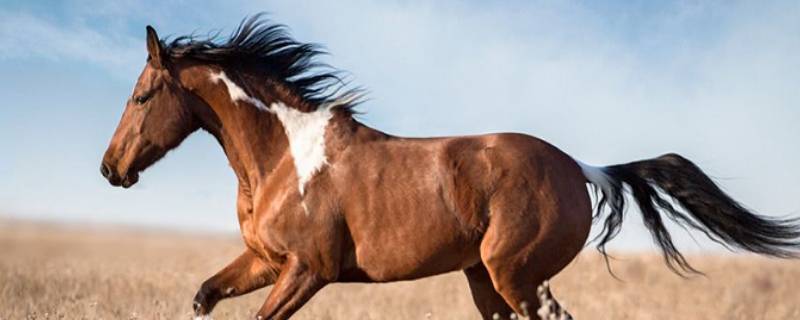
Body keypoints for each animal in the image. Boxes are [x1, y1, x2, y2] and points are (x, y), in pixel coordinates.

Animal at [101, 16, 800, 320]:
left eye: (141, 96)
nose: (110, 170)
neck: (283, 158)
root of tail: (581, 167)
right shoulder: (266, 262)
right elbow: (204, 296)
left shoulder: (308, 270)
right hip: (484, 279)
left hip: (515, 275)